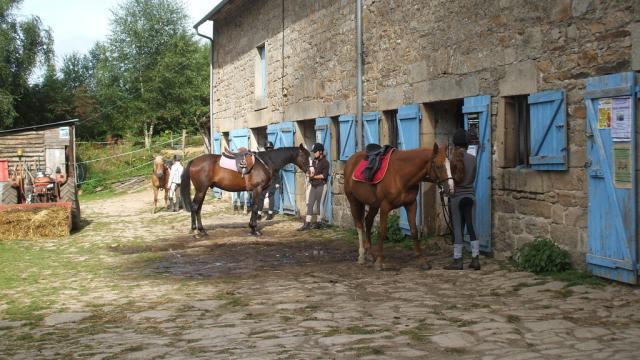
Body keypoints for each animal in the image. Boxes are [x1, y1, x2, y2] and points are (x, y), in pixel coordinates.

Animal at [181, 145, 312, 235]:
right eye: (306, 157)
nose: (311, 172)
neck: (266, 162)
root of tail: (194, 161)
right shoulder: (257, 189)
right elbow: (255, 207)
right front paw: (254, 229)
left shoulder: (259, 191)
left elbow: (256, 206)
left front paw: (252, 227)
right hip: (201, 190)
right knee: (194, 207)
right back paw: (195, 231)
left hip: (202, 190)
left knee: (198, 208)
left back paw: (202, 230)